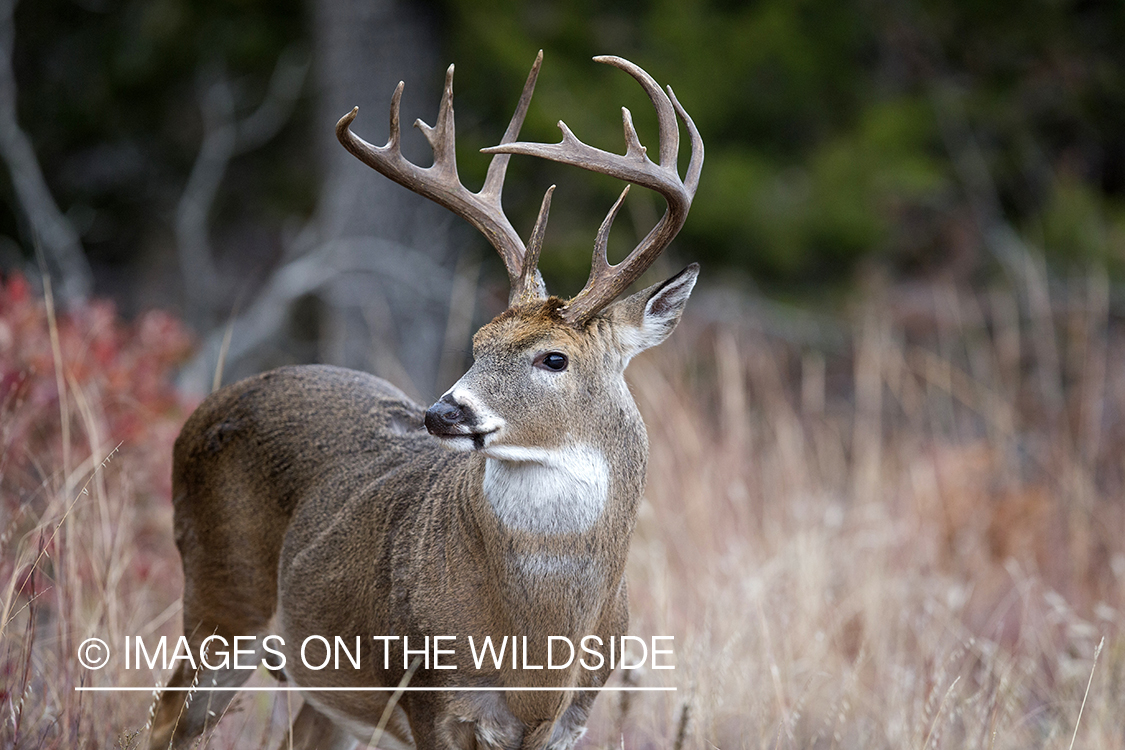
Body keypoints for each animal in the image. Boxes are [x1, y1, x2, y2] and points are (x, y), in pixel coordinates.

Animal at [145, 51, 697, 750]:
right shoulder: (429, 697)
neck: (537, 654)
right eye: (478, 341)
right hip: (220, 603)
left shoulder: (571, 718)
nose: (441, 413)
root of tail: (202, 411)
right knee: (164, 718)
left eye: (554, 358)